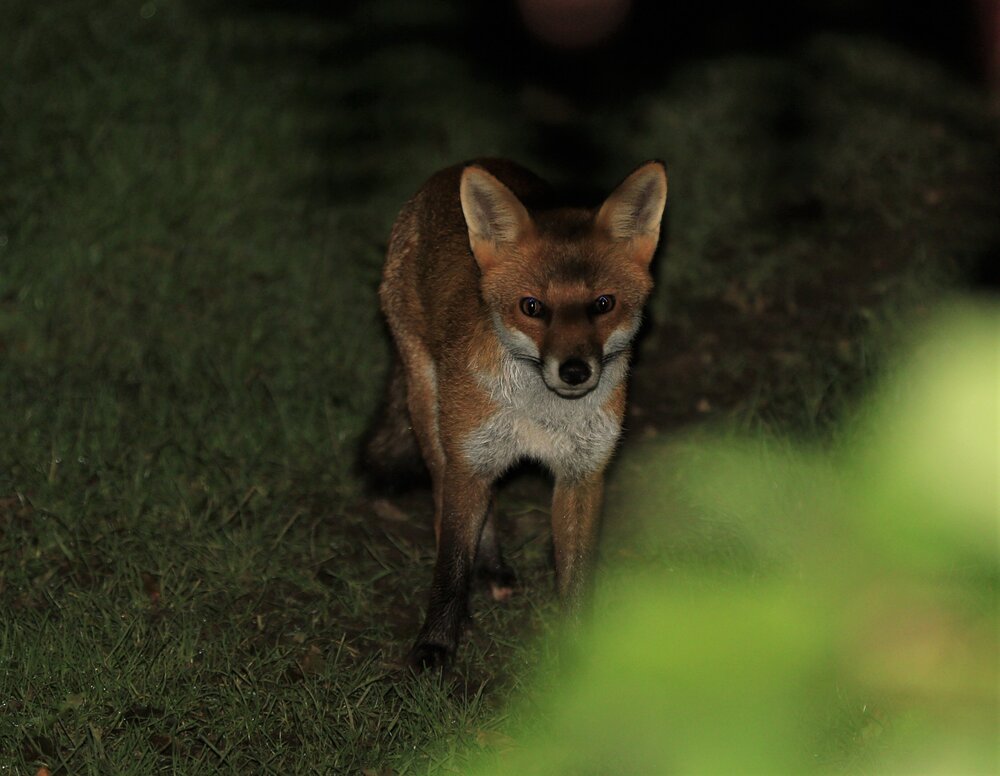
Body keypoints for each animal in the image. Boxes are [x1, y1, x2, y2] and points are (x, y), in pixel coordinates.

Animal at [364, 158, 668, 668]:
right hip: (433, 418)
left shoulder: (582, 475)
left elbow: (576, 575)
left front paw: (577, 651)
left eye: (603, 304)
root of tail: (451, 171)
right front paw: (437, 642)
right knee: (443, 505)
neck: (542, 415)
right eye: (532, 307)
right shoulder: (469, 460)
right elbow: (451, 560)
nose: (574, 371)